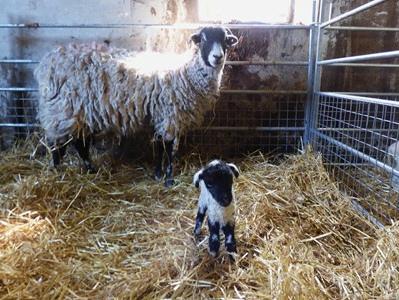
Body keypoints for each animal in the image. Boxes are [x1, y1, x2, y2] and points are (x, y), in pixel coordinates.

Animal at [34, 26, 238, 185]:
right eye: (203, 39)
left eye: (225, 40)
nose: (217, 57)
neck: (186, 73)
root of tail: (47, 62)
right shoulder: (170, 116)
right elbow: (169, 149)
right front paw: (169, 179)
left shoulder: (160, 116)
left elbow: (159, 146)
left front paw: (158, 175)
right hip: (61, 110)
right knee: (57, 144)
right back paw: (57, 170)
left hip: (80, 112)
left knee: (79, 143)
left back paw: (90, 169)